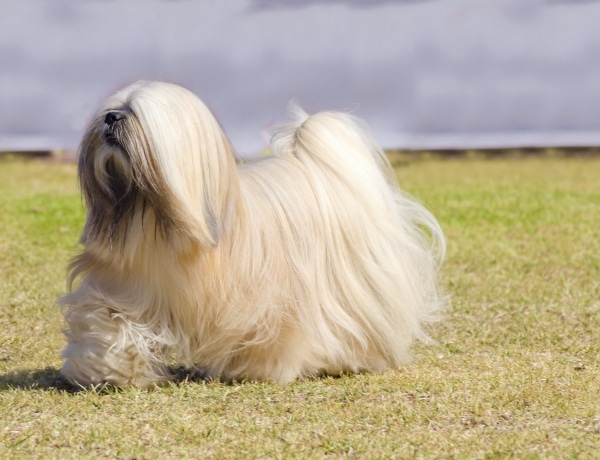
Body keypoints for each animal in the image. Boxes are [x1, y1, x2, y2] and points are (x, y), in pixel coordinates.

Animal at [59, 80, 446, 388]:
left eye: (133, 114)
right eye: (111, 110)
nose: (110, 118)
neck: (157, 220)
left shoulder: (266, 303)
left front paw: (261, 369)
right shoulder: (123, 288)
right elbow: (107, 325)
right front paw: (105, 371)